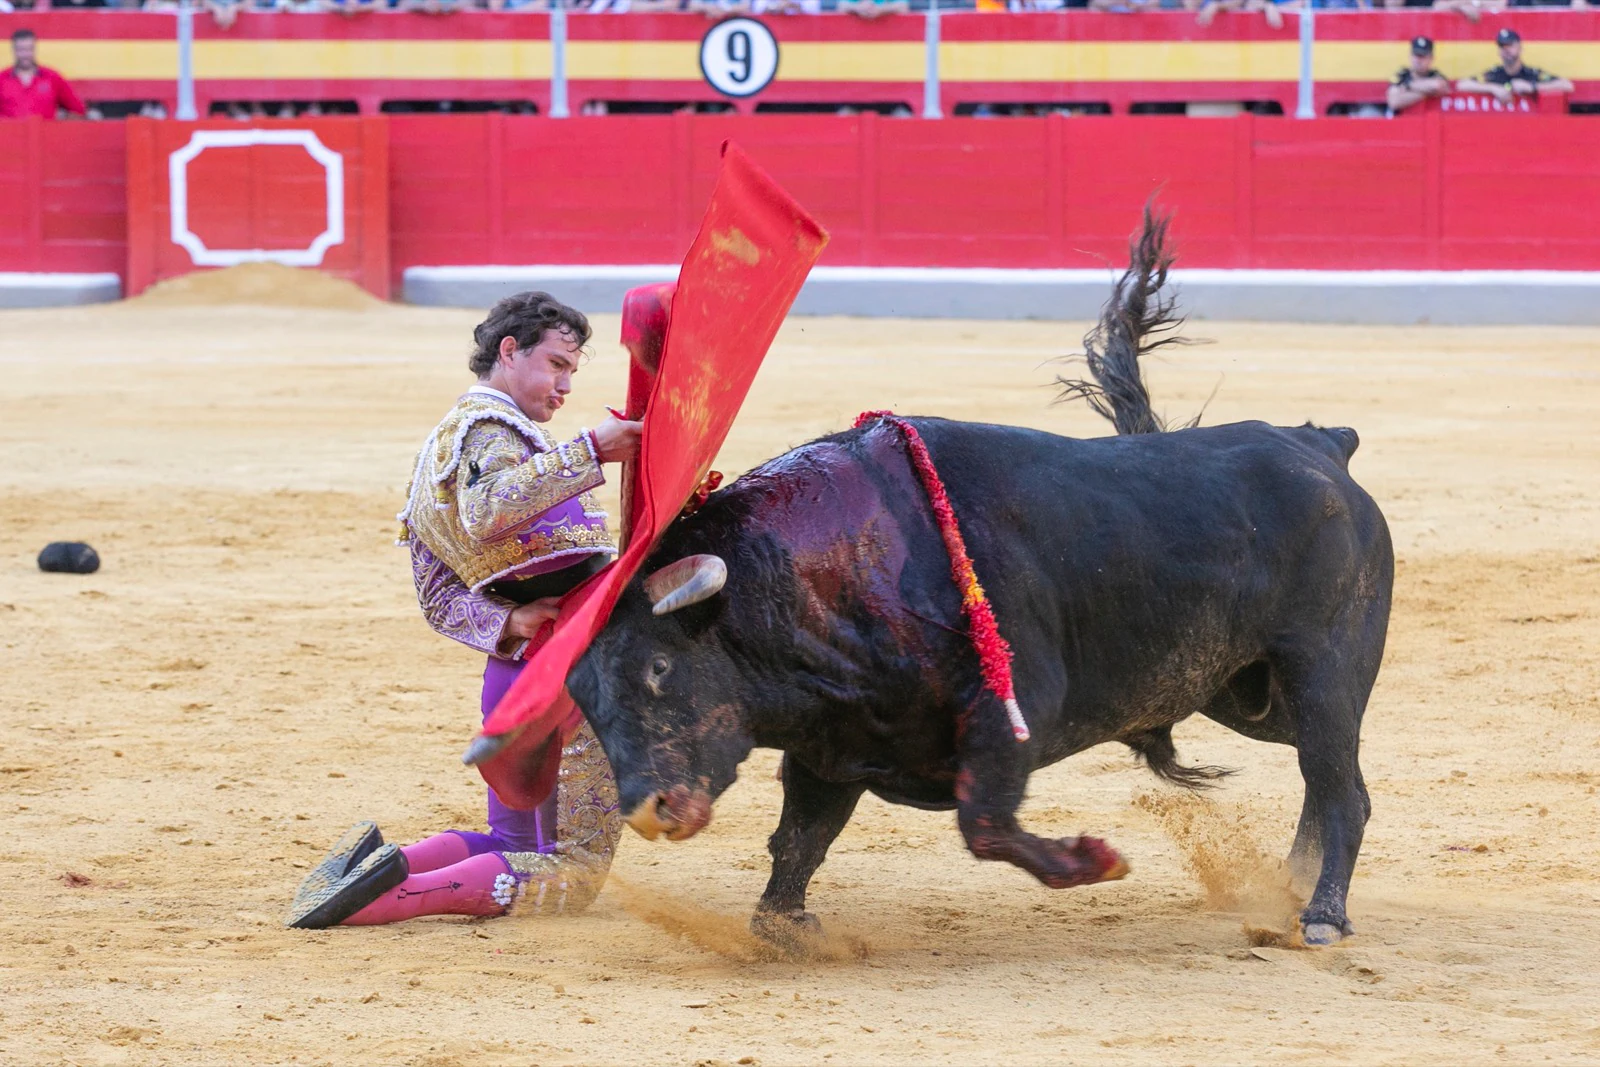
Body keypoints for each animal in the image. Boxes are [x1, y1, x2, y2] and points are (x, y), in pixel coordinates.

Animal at [569, 219, 1395, 953]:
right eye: (583, 697)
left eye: (659, 666)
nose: (648, 811)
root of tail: (1320, 447)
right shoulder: (833, 744)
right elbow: (799, 838)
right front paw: (789, 926)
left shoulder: (1010, 710)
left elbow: (984, 825)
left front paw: (1097, 861)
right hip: (1242, 690)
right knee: (1327, 774)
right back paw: (1292, 889)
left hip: (1322, 666)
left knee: (1340, 785)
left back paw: (1320, 915)